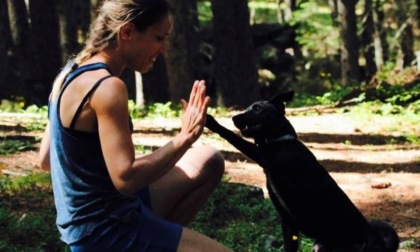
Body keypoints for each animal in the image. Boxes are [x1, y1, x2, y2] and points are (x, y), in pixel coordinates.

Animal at [205, 91, 398, 252]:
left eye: (257, 108)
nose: (234, 117)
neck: (279, 139)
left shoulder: (261, 155)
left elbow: (232, 136)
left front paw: (211, 121)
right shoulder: (288, 222)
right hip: (320, 246)